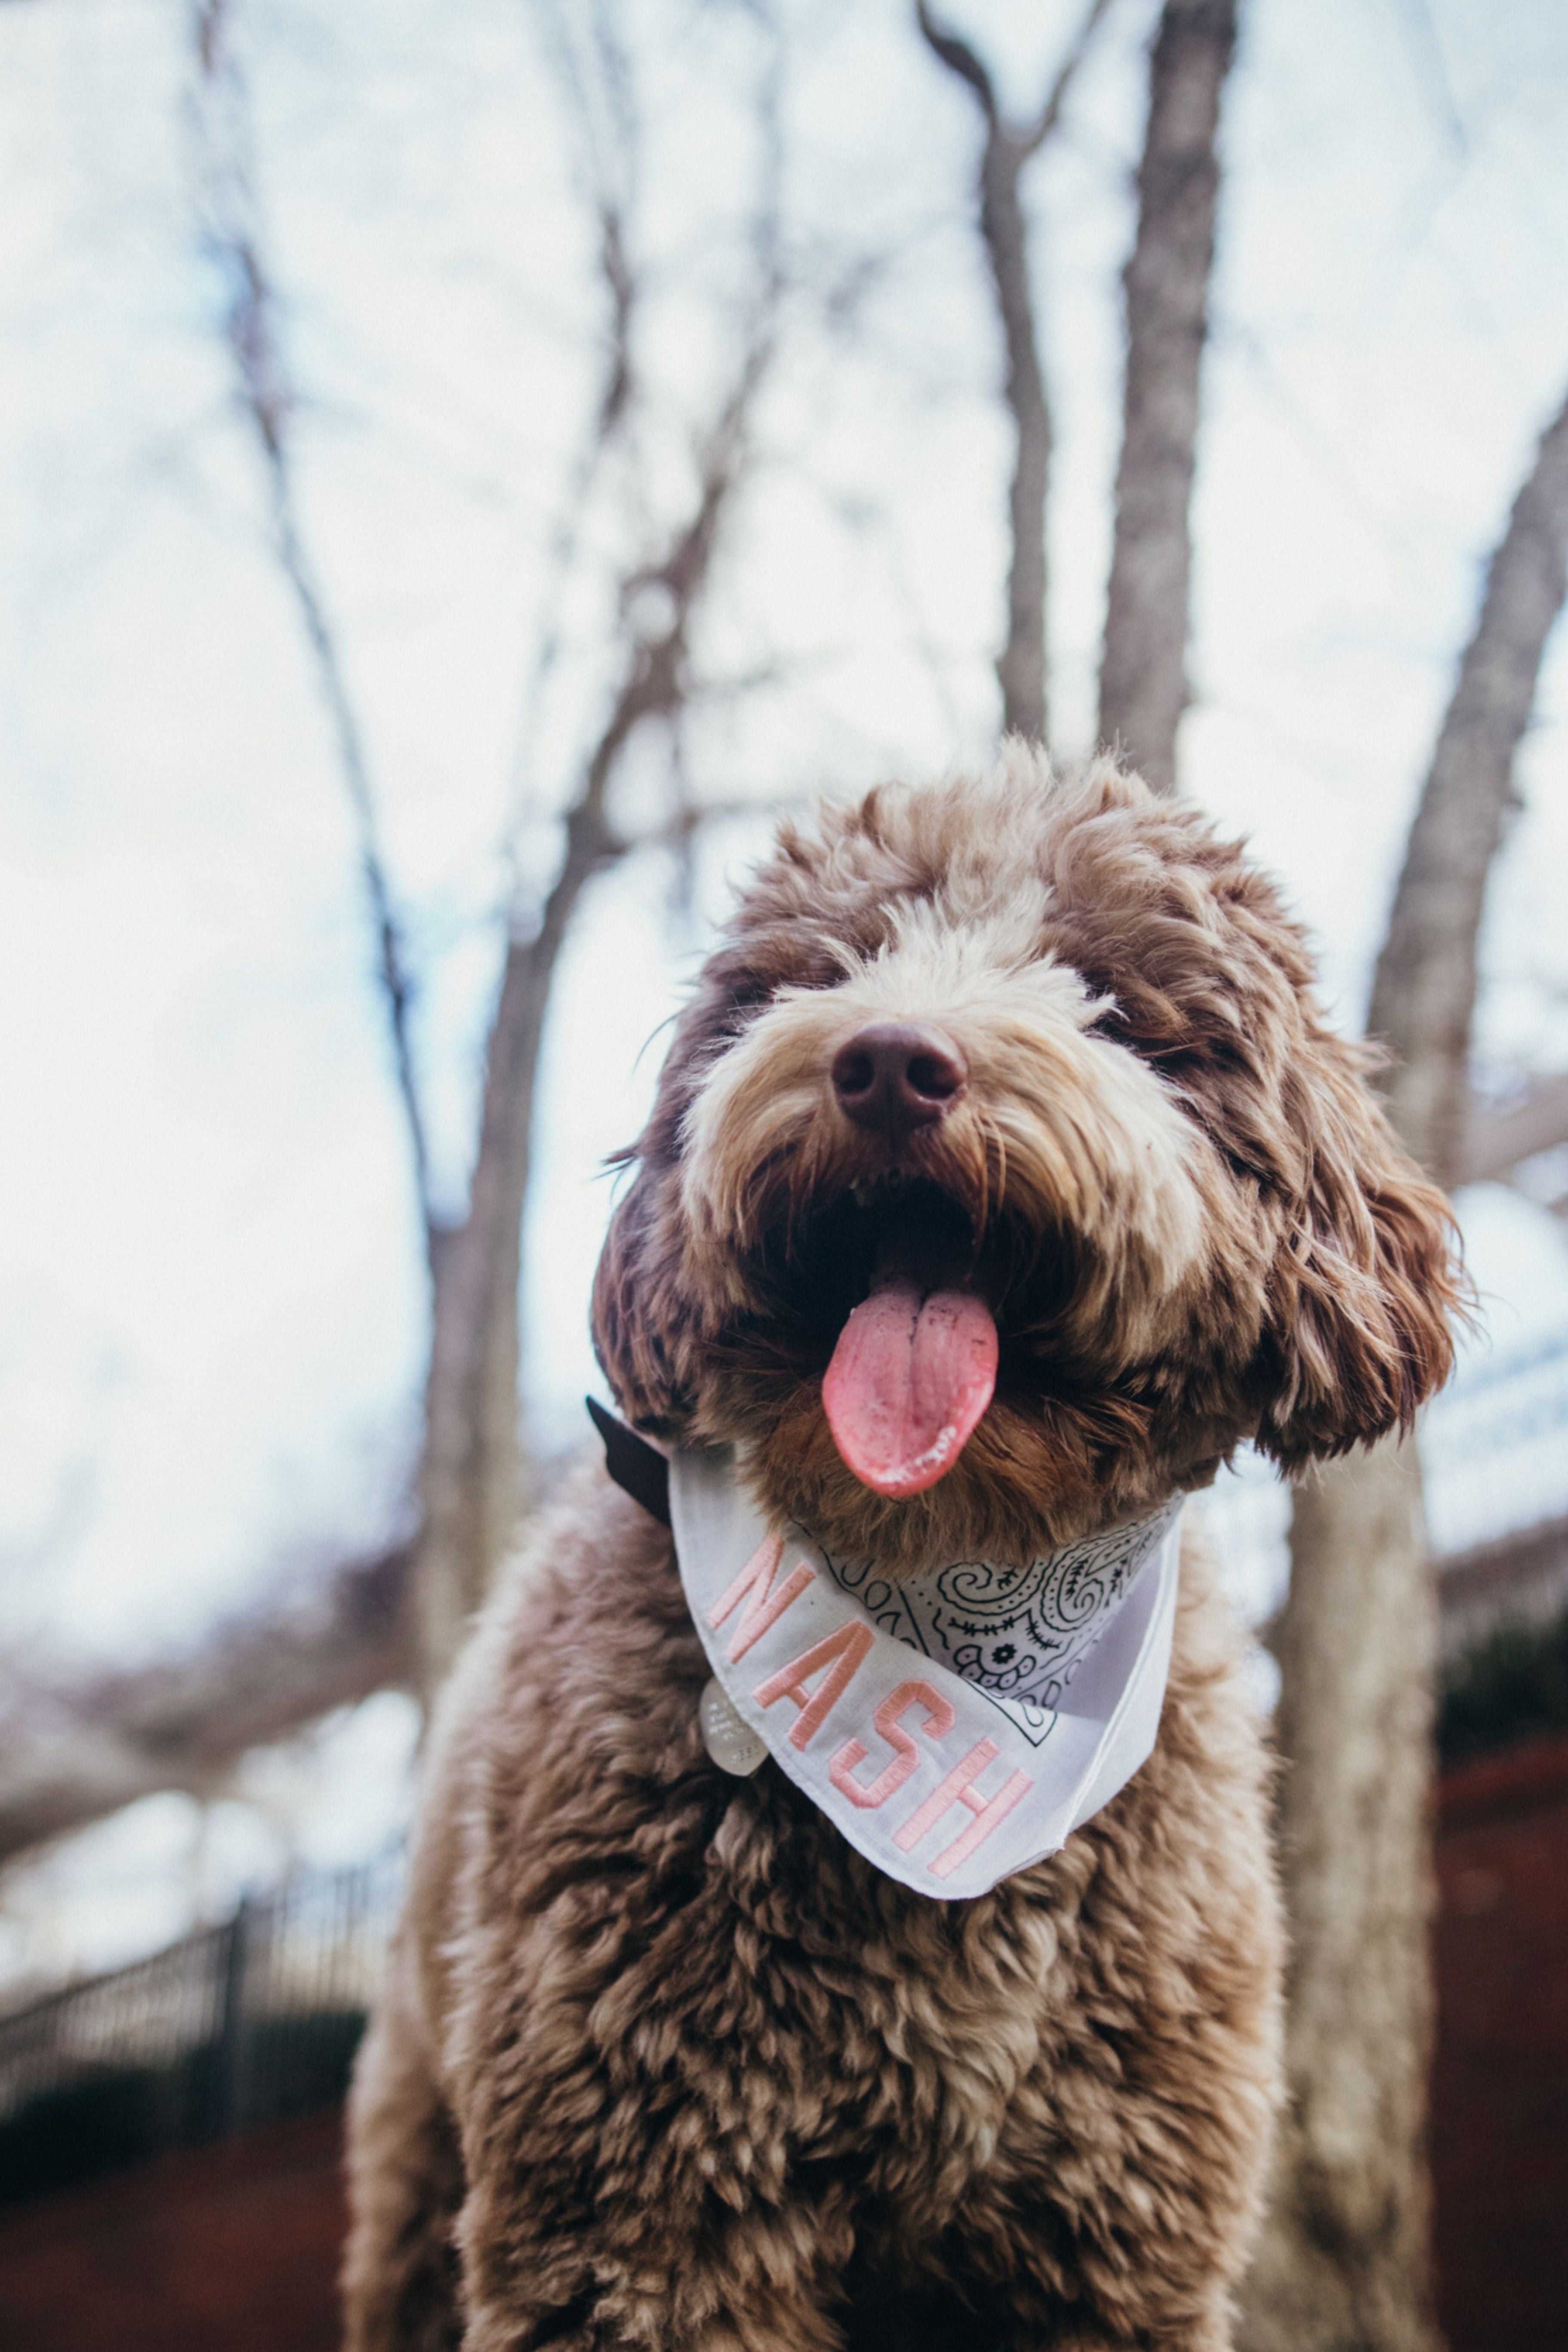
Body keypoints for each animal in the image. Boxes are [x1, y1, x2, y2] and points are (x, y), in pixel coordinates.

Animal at [341, 753, 1457, 2352]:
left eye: (1101, 995)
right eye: (832, 966)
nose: (884, 1061)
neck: (950, 1599)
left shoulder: (1110, 2231)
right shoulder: (647, 2209)